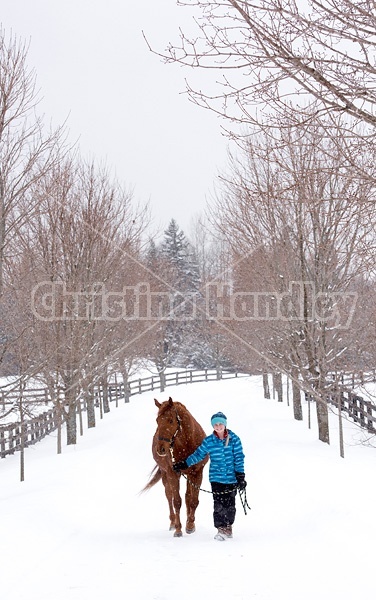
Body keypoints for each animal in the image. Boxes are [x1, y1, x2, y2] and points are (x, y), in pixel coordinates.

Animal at [143, 396, 209, 536]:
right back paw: (173, 523)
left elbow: (193, 501)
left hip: (189, 475)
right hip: (165, 474)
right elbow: (177, 501)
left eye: (170, 420)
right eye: (157, 421)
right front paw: (178, 529)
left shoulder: (197, 472)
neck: (187, 443)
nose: (161, 448)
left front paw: (190, 525)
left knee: (187, 497)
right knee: (169, 496)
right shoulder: (173, 473)